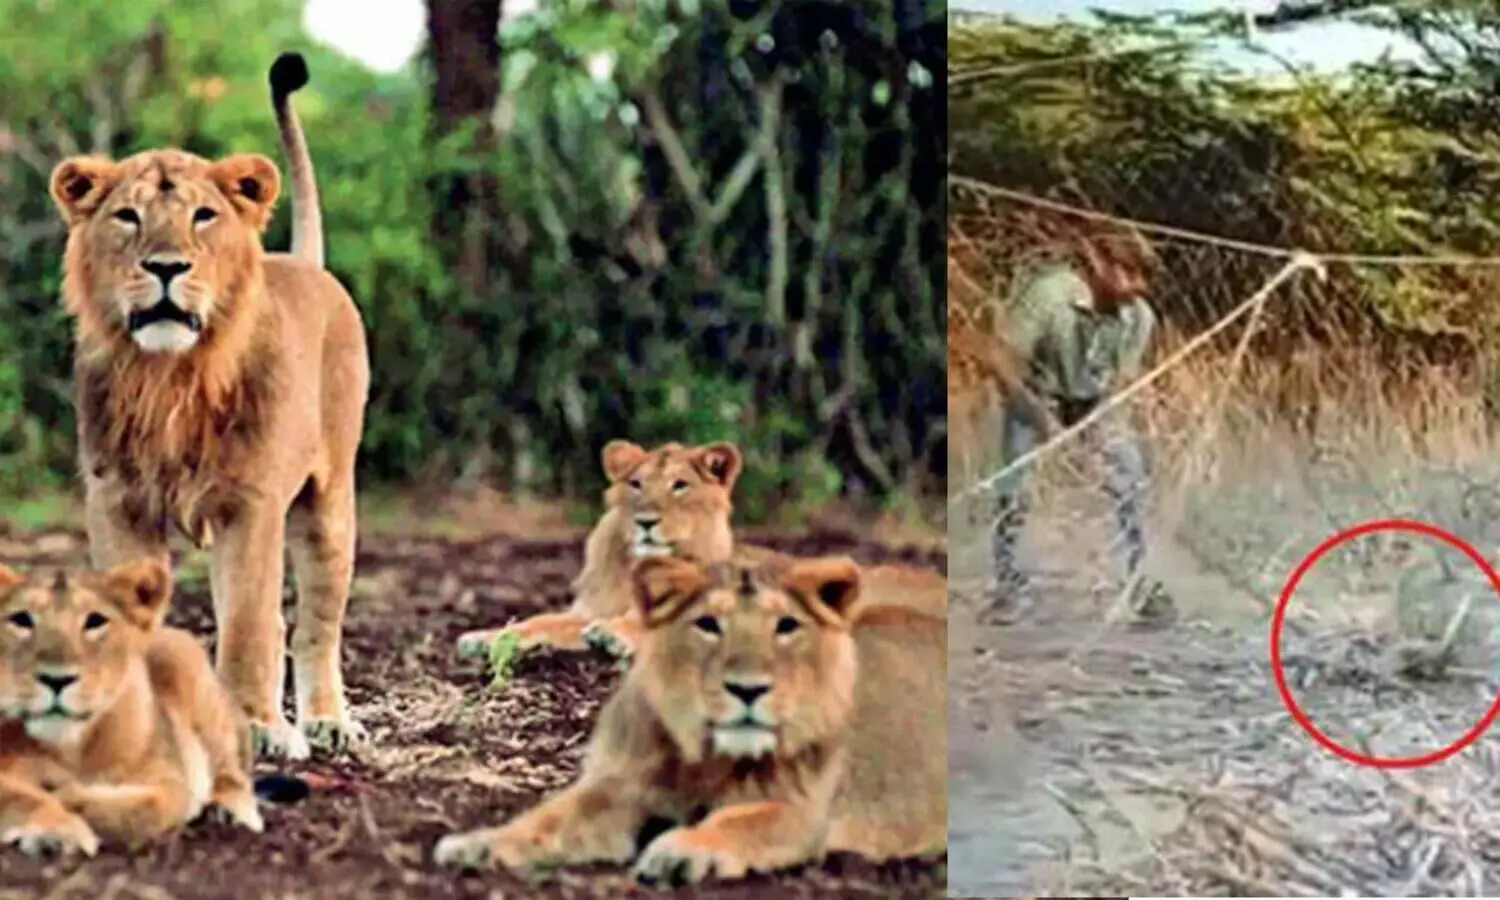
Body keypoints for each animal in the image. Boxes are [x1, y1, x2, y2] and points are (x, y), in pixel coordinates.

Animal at [0, 559, 263, 858]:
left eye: (95, 621)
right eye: (21, 619)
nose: (57, 679)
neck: (70, 748)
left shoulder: (169, 780)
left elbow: (149, 809)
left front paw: (66, 795)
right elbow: (19, 797)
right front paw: (55, 831)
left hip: (188, 666)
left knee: (232, 771)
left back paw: (229, 810)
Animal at [46, 52, 369, 762]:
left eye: (202, 216)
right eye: (128, 217)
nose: (166, 267)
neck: (169, 378)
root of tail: (305, 263)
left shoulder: (251, 504)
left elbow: (249, 626)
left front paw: (257, 728)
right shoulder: (117, 502)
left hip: (328, 504)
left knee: (312, 624)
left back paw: (325, 722)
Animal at [434, 552, 947, 886]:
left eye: (785, 627)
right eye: (708, 625)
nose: (747, 689)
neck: (706, 754)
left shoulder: (802, 814)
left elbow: (737, 822)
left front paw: (681, 850)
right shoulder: (618, 786)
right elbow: (546, 819)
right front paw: (478, 845)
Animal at [454, 439, 947, 663]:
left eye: (680, 486)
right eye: (636, 484)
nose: (646, 520)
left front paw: (613, 636)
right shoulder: (588, 607)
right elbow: (539, 621)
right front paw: (483, 638)